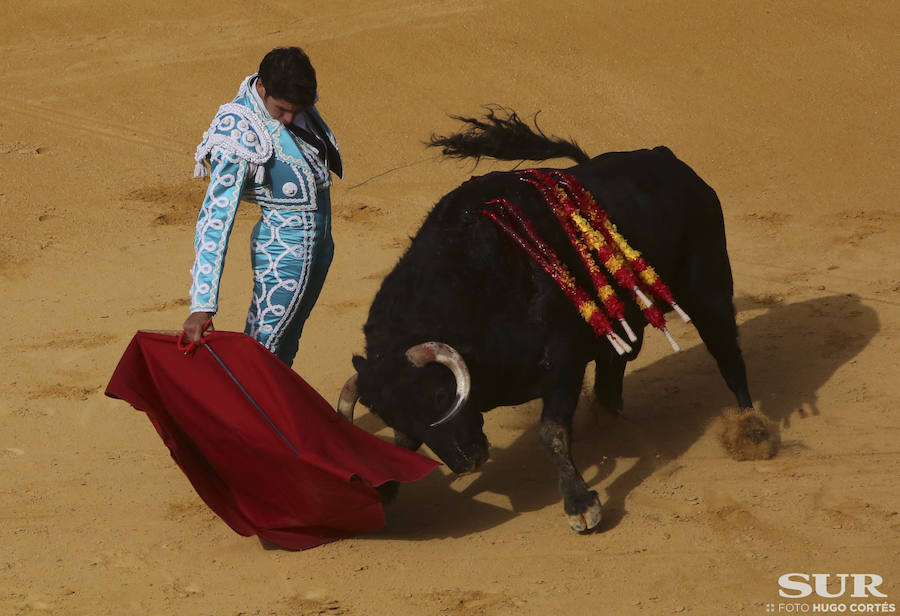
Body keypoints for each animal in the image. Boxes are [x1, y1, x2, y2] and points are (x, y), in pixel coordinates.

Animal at [334, 109, 776, 528]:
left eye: (442, 397)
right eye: (392, 416)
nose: (466, 463)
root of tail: (667, 158)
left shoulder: (562, 362)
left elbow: (552, 433)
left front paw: (581, 505)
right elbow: (395, 449)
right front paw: (379, 492)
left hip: (708, 287)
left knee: (727, 354)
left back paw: (753, 430)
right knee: (613, 374)